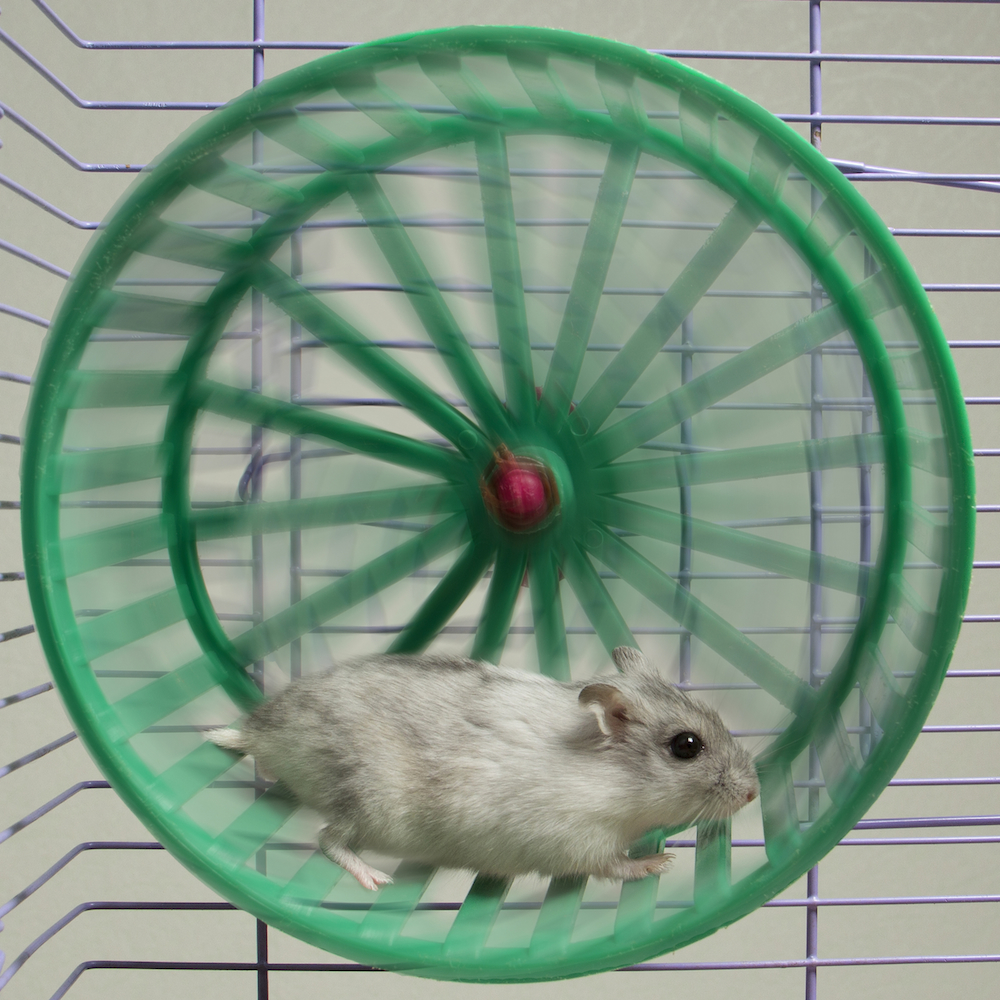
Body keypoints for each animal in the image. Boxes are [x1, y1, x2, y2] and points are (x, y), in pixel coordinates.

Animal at [206, 646, 759, 890]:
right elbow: (613, 864)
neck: (615, 784)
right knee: (327, 840)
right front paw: (659, 863)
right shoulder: (578, 840)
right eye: (687, 746)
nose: (754, 792)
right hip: (369, 804)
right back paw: (376, 880)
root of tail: (264, 731)